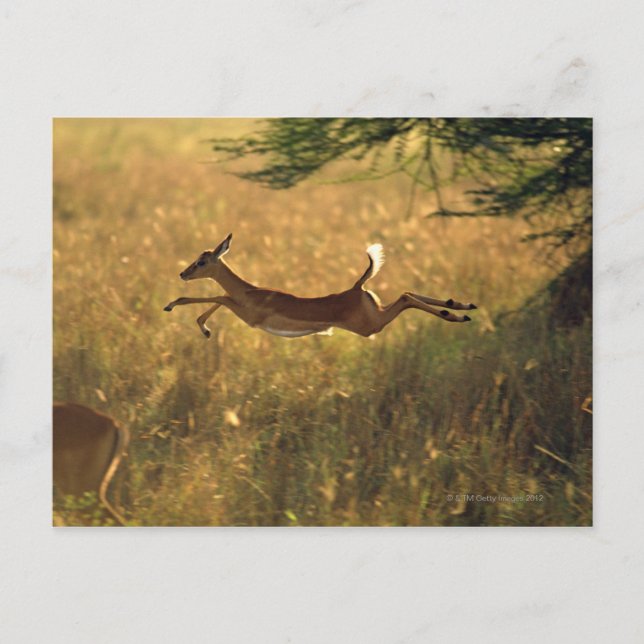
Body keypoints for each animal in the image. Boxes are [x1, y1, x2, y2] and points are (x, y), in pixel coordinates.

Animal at [164, 233, 477, 339]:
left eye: (202, 262)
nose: (182, 273)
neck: (250, 291)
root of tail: (356, 288)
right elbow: (219, 297)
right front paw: (205, 330)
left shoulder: (247, 314)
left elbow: (218, 295)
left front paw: (171, 305)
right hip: (376, 315)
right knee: (407, 293)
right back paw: (463, 306)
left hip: (371, 326)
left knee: (406, 297)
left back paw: (457, 315)